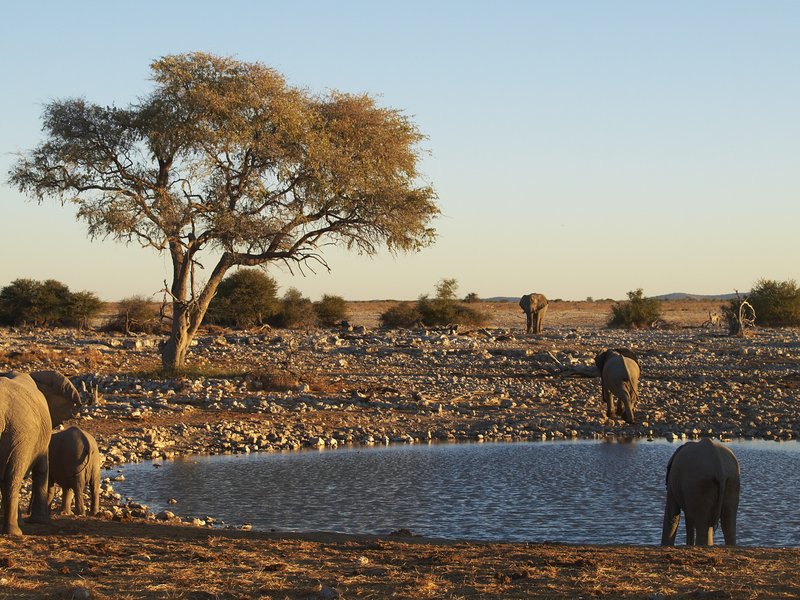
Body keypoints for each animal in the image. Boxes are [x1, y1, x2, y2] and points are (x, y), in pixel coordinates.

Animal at [0, 370, 81, 535]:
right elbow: (43, 469)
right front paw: (42, 522)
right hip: (21, 436)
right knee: (13, 478)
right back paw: (15, 532)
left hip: (17, 434)